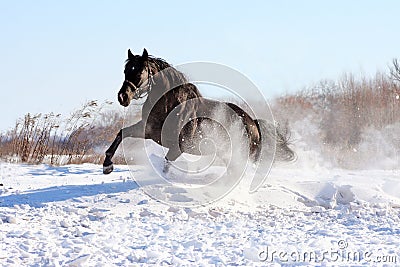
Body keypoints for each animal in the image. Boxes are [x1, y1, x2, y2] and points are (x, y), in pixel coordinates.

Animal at [102, 48, 294, 175]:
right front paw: (107, 165)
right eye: (126, 70)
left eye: (140, 72)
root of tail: (252, 122)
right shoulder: (147, 130)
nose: (123, 97)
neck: (169, 107)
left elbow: (166, 165)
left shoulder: (178, 147)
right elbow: (121, 133)